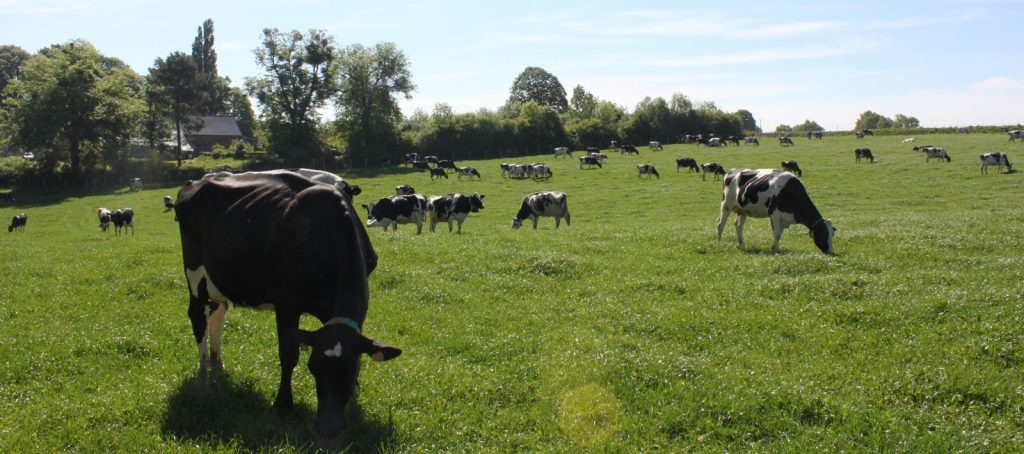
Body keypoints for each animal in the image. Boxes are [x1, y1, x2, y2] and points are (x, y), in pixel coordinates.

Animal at [174, 171, 400, 437]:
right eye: (313, 368)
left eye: (351, 370)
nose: (328, 428)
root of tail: (199, 180)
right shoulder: (287, 304)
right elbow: (288, 354)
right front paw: (283, 404)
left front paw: (354, 393)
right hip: (195, 275)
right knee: (198, 318)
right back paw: (203, 375)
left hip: (220, 281)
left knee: (217, 318)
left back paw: (217, 366)